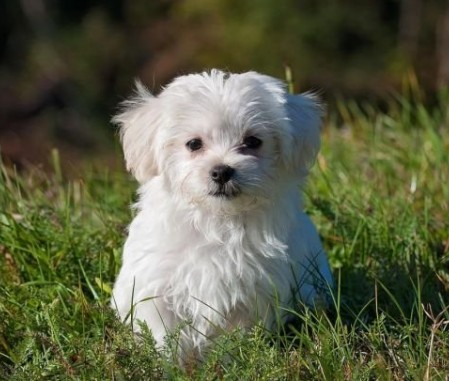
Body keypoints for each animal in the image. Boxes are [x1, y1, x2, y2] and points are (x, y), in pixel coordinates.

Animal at [110, 69, 330, 360]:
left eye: (252, 142)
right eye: (193, 144)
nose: (221, 171)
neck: (217, 220)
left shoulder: (252, 293)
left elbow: (235, 335)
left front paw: (229, 361)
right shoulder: (155, 286)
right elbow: (164, 332)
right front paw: (171, 363)